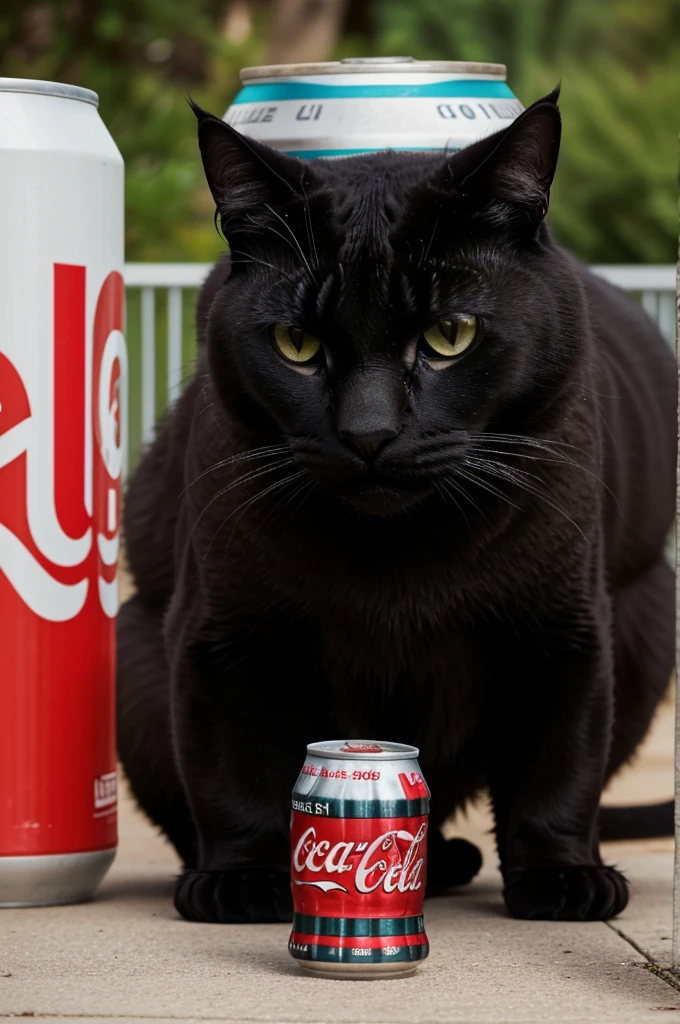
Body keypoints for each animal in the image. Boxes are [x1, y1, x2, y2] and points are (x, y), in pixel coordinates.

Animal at [116, 92, 675, 925]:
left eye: (450, 334)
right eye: (296, 343)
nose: (368, 432)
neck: (398, 557)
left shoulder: (564, 634)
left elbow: (558, 768)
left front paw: (562, 878)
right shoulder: (224, 638)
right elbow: (236, 773)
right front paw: (243, 883)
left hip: (649, 622)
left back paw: (447, 859)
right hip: (132, 652)